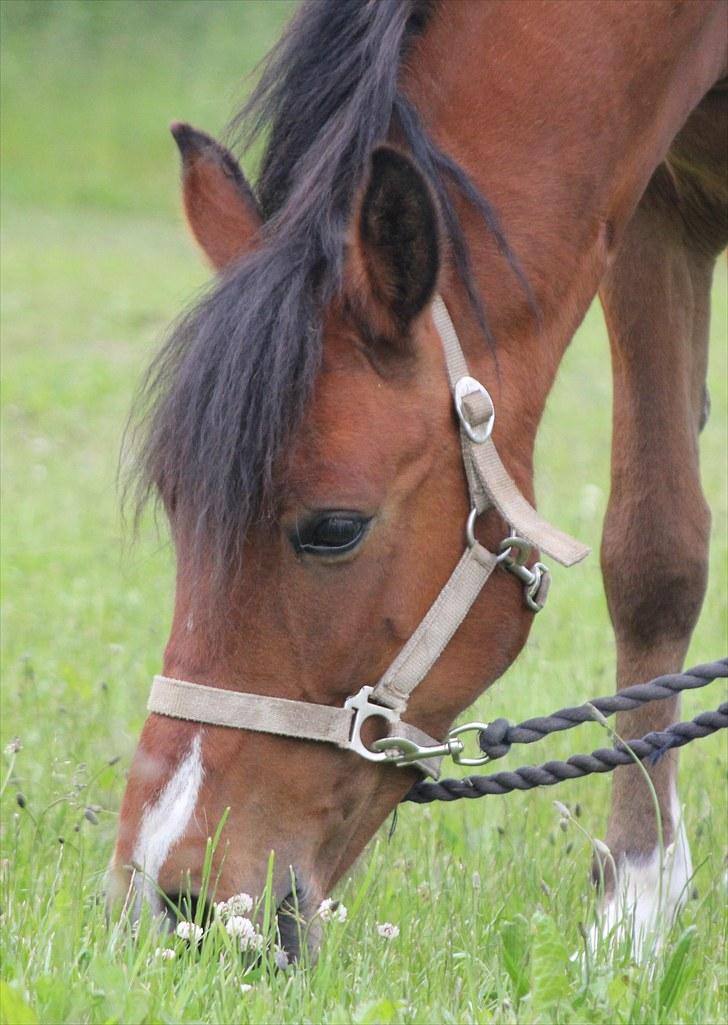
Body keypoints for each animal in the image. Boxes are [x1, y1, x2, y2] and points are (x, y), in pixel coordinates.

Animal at [109, 0, 728, 959]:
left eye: (334, 527)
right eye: (180, 508)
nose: (179, 901)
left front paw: (637, 901)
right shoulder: (658, 212)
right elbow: (656, 555)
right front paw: (641, 901)